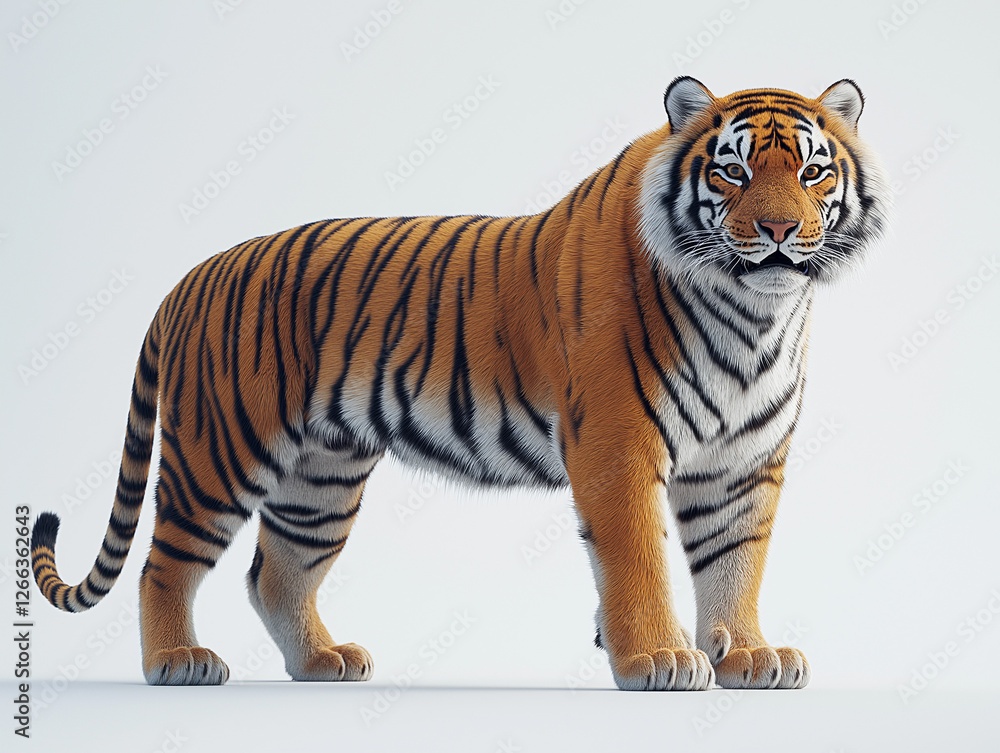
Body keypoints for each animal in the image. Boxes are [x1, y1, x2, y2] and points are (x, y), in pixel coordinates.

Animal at [31, 76, 890, 690]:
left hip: (321, 476)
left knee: (276, 573)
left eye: (813, 171)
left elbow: (736, 561)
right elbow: (638, 558)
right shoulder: (618, 447)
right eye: (733, 169)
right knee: (164, 562)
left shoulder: (744, 461)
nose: (779, 231)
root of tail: (192, 274)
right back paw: (176, 660)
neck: (755, 314)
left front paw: (745, 654)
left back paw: (322, 663)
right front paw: (658, 659)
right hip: (220, 452)